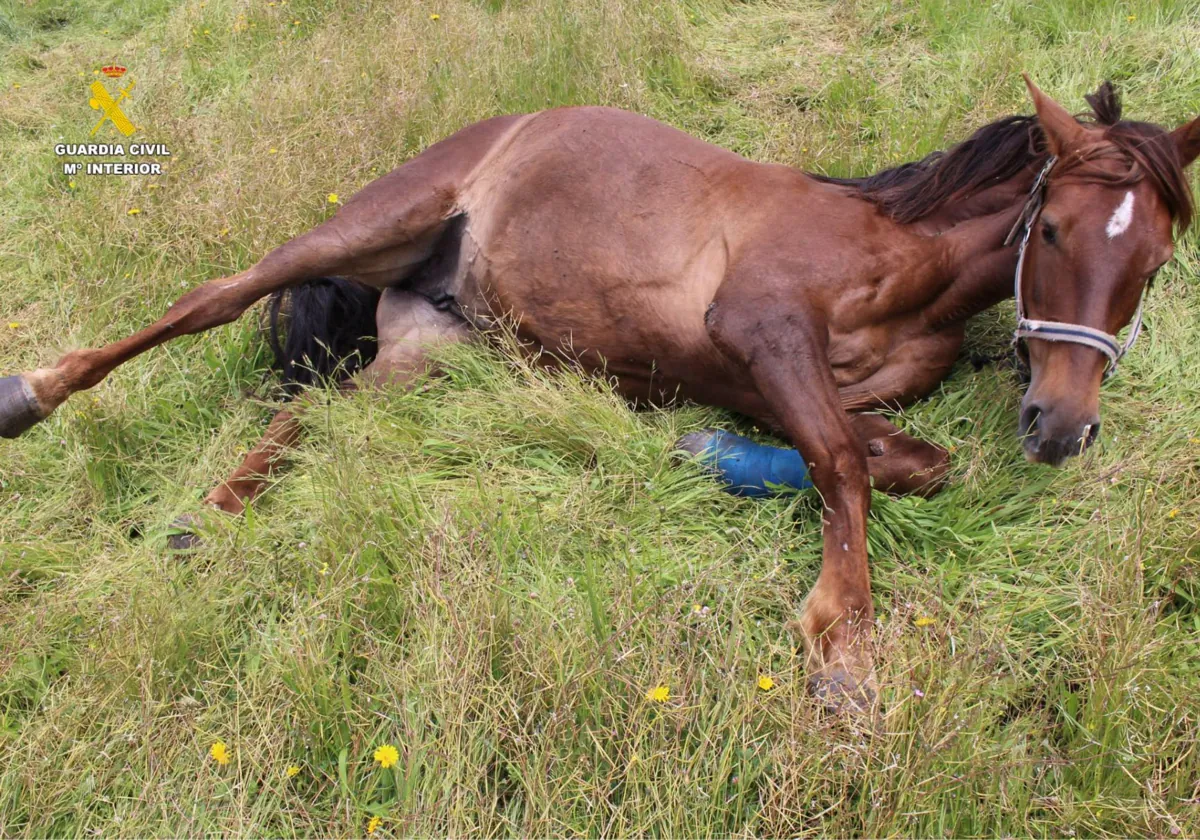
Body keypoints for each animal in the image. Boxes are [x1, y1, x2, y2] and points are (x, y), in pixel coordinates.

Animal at [2, 77, 1200, 710]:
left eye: (1155, 259)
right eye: (1053, 230)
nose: (1060, 428)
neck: (897, 255)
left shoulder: (779, 381)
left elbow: (894, 458)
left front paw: (706, 457)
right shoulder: (761, 329)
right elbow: (844, 460)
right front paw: (844, 648)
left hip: (430, 351)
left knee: (314, 415)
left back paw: (203, 524)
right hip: (368, 226)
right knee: (212, 300)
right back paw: (36, 393)